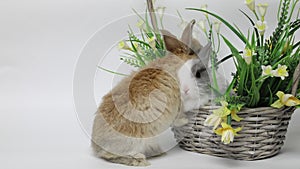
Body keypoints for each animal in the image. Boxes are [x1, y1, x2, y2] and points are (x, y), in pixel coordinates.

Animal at [91, 20, 211, 166]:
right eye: (196, 51)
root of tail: (96, 147)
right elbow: (178, 117)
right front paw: (185, 120)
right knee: (110, 156)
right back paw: (140, 160)